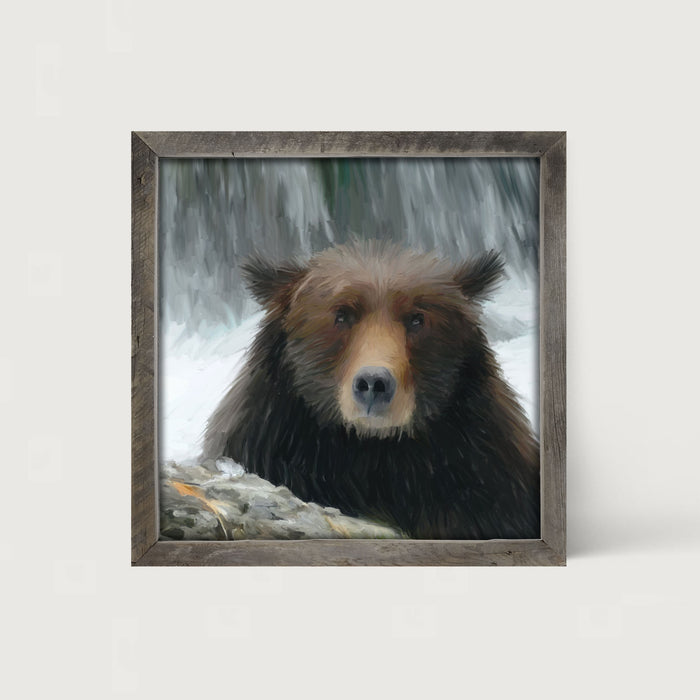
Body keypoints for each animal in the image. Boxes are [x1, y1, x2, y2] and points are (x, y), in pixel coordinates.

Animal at [203, 240, 540, 539]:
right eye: (341, 315)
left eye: (417, 319)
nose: (374, 383)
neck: (372, 453)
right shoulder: (270, 443)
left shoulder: (481, 475)